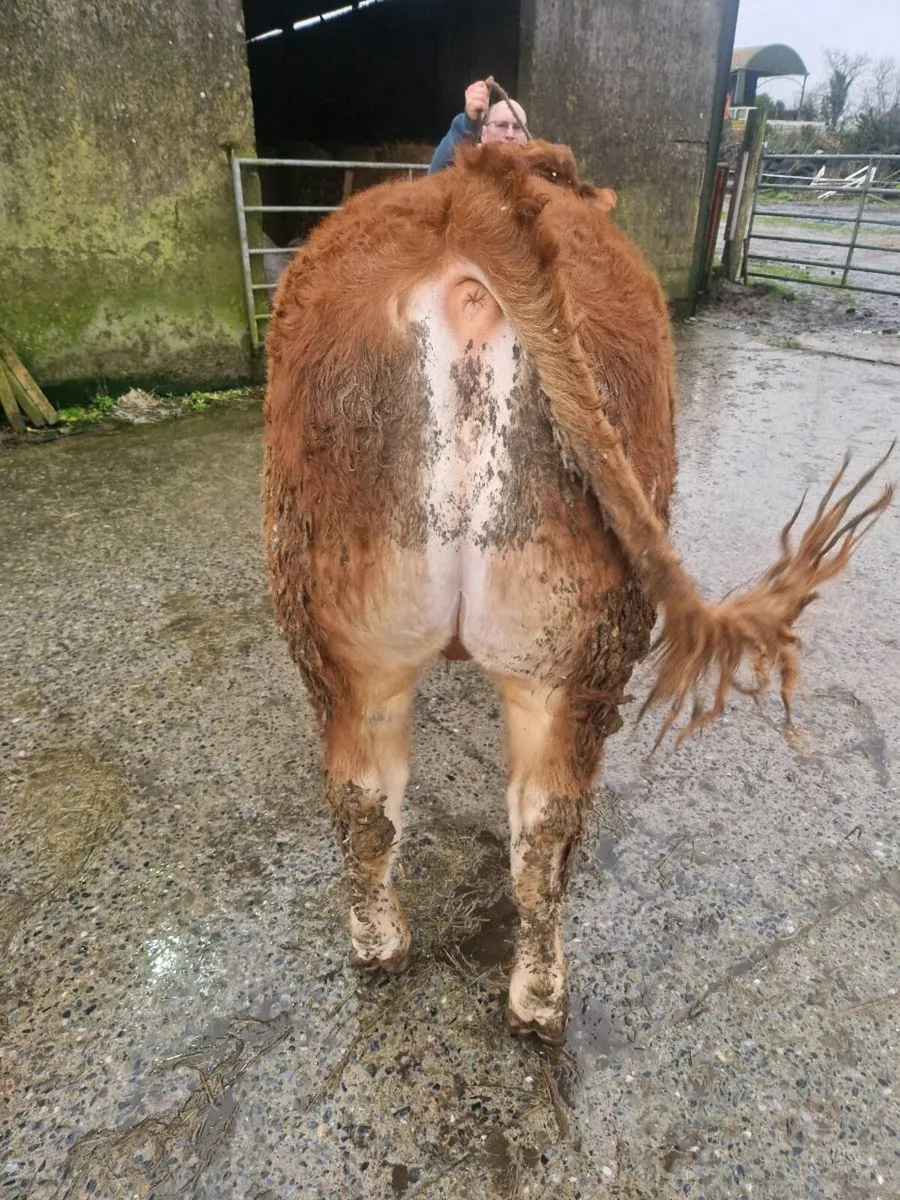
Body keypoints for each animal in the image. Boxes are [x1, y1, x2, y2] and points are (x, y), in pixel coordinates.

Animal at [262, 140, 892, 1044]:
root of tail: (473, 196)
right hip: (568, 647)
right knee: (541, 826)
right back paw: (540, 998)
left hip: (362, 633)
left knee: (370, 803)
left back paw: (388, 949)